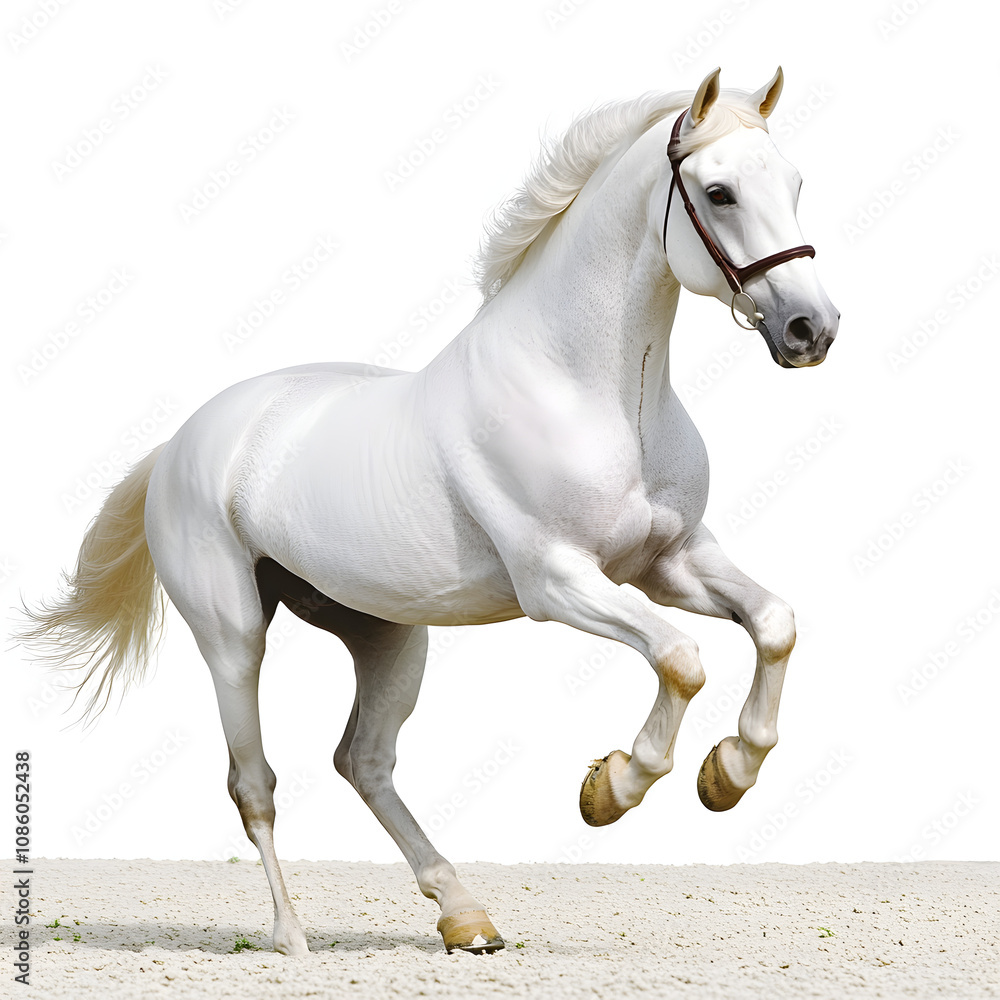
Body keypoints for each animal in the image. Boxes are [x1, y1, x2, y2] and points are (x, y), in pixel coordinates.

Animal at [20, 66, 838, 955]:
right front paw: (612, 788)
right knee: (254, 783)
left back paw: (465, 916)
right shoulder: (559, 582)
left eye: (796, 183)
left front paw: (729, 773)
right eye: (719, 193)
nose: (811, 328)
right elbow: (682, 660)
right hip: (232, 636)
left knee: (364, 761)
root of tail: (181, 442)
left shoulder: (670, 563)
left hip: (385, 634)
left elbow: (775, 623)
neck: (596, 392)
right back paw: (292, 940)